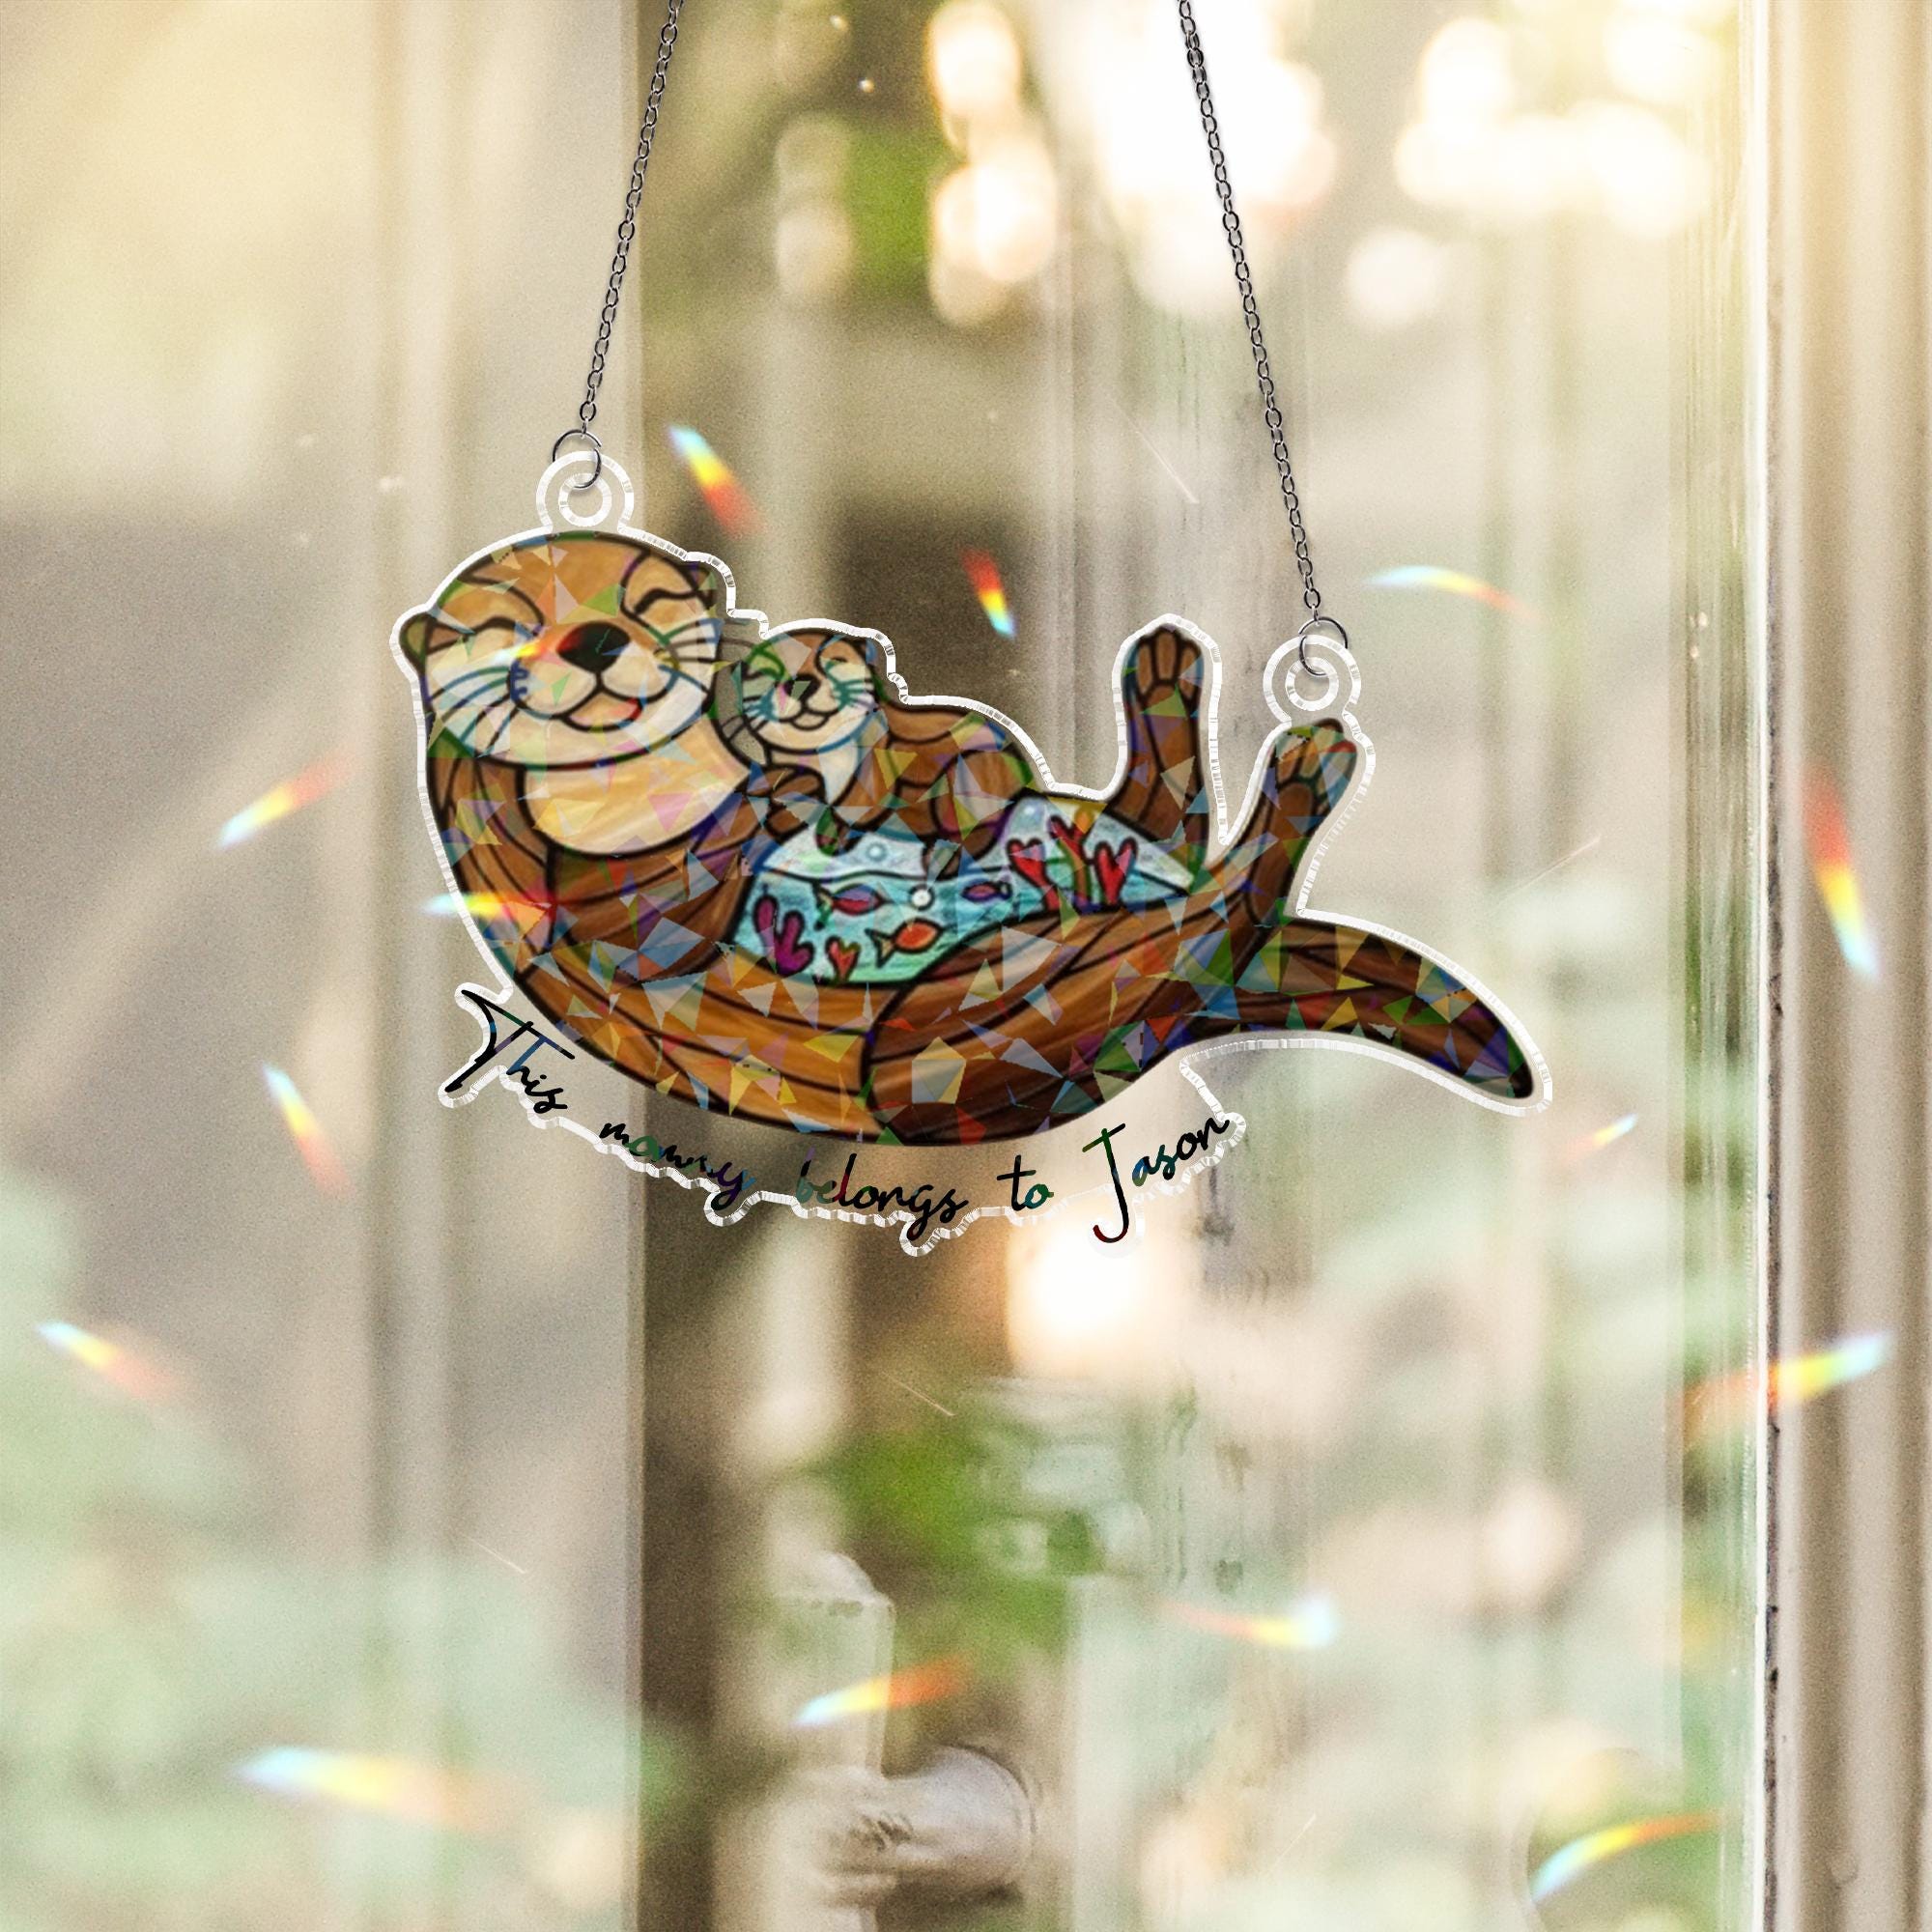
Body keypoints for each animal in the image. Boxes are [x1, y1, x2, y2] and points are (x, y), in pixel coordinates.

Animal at [396, 526, 1538, 1142]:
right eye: (505, 630)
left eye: (646, 605)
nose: (591, 640)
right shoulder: (588, 891)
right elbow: (667, 910)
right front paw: (779, 800)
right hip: (965, 1040)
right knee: (1200, 916)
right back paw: (1299, 775)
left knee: (1163, 826)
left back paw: (1165, 673)